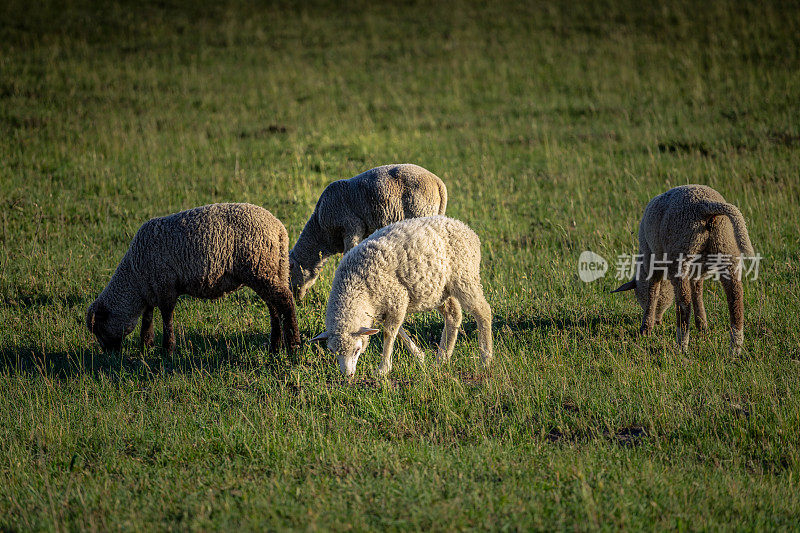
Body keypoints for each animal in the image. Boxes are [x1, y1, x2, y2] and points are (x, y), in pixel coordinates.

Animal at [86, 202, 300, 356]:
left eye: (99, 329)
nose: (109, 355)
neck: (134, 277)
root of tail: (279, 230)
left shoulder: (165, 286)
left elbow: (167, 317)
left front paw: (167, 350)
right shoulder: (152, 288)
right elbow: (147, 318)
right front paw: (146, 346)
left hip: (259, 267)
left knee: (285, 301)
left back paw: (293, 346)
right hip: (273, 269)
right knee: (274, 307)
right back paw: (275, 347)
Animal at [290, 163, 450, 300]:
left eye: (289, 275)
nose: (296, 300)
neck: (321, 233)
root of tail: (439, 184)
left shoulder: (352, 227)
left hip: (421, 211)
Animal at [310, 215, 490, 378]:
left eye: (357, 350)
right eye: (332, 351)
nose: (347, 375)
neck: (355, 284)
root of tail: (466, 228)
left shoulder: (397, 298)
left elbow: (389, 333)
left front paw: (383, 369)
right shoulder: (385, 307)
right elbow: (398, 331)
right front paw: (419, 356)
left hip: (464, 277)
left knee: (483, 312)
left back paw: (486, 358)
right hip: (439, 289)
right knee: (454, 315)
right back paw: (442, 359)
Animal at [612, 185, 756, 356]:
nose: (658, 321)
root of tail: (707, 205)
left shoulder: (652, 258)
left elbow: (653, 290)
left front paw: (646, 328)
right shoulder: (697, 271)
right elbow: (697, 292)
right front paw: (702, 326)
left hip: (681, 248)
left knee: (684, 302)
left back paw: (681, 344)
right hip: (726, 244)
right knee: (735, 296)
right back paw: (735, 347)